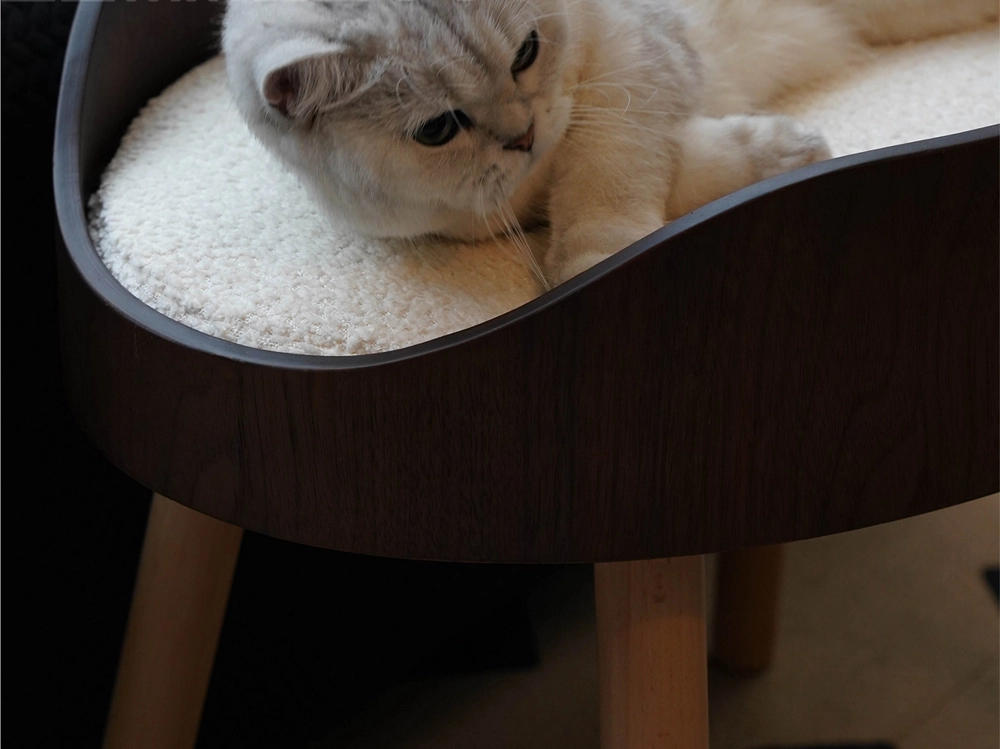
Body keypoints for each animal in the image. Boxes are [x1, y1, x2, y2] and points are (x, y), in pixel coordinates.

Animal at [223, 0, 996, 286]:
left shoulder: (632, 64)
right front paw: (789, 149)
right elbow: (691, 168)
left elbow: (607, 178)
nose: (525, 136)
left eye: (527, 53)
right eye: (438, 129)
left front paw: (598, 266)